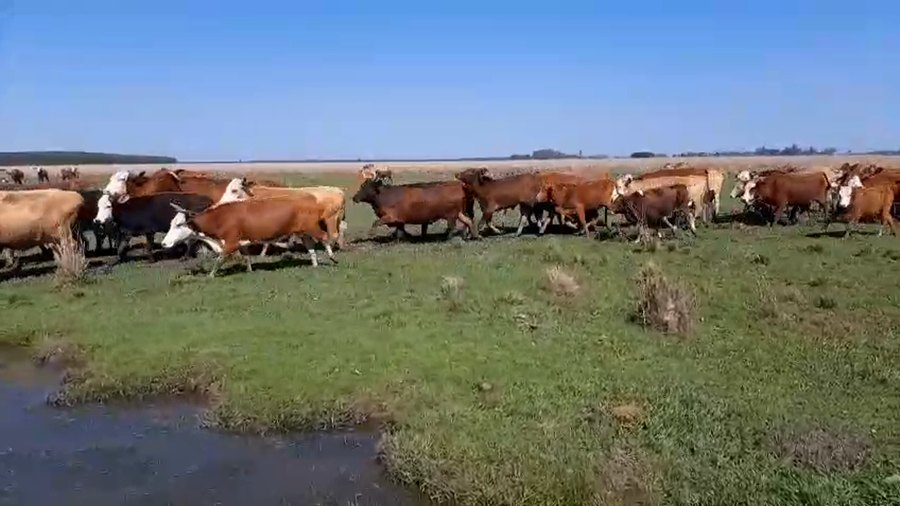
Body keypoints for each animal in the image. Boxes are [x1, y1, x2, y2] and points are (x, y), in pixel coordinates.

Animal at [161, 197, 338, 277]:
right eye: (172, 223)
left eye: (179, 225)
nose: (163, 243)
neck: (219, 218)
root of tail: (312, 201)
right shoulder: (242, 242)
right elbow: (246, 256)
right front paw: (249, 270)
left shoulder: (230, 243)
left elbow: (219, 259)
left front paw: (210, 275)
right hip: (304, 232)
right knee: (311, 246)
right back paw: (314, 264)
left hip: (312, 228)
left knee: (324, 237)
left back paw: (332, 257)